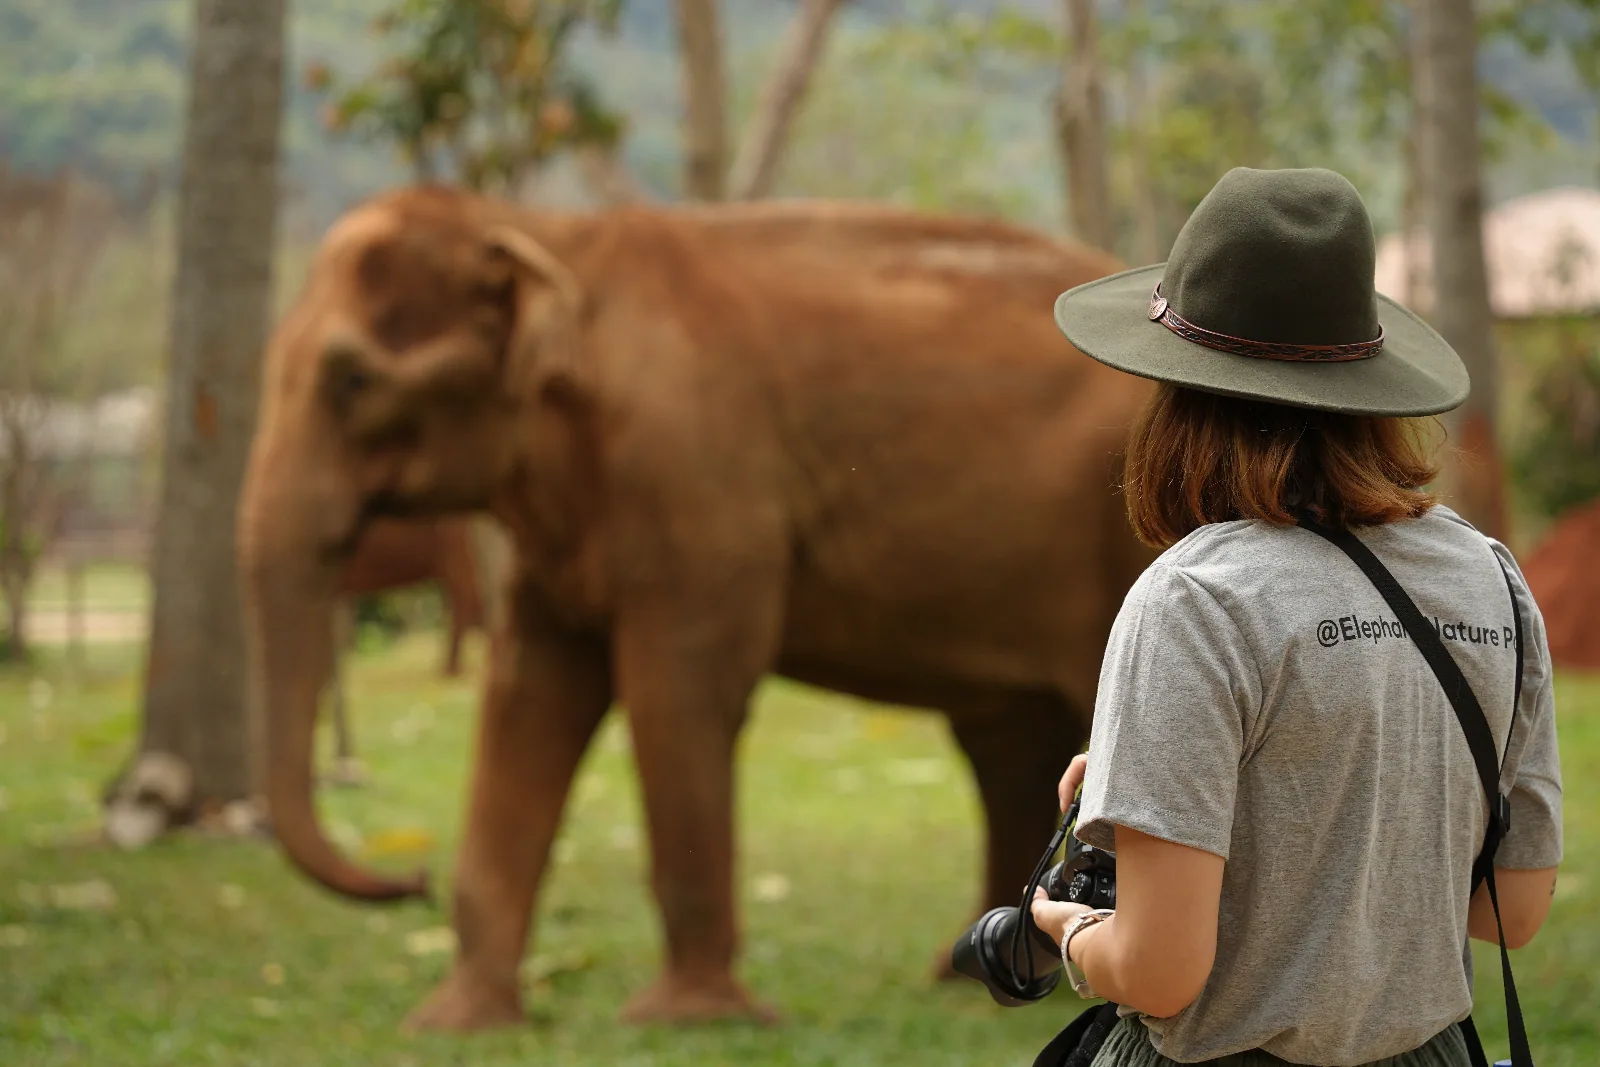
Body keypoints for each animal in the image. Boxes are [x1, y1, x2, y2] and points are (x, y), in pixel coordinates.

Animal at [236, 185, 1157, 1031]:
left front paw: (690, 1018)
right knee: (1009, 739)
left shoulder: (700, 482)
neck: (548, 234)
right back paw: (965, 976)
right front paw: (454, 1023)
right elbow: (527, 694)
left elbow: (679, 690)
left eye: (352, 378)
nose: (409, 877)